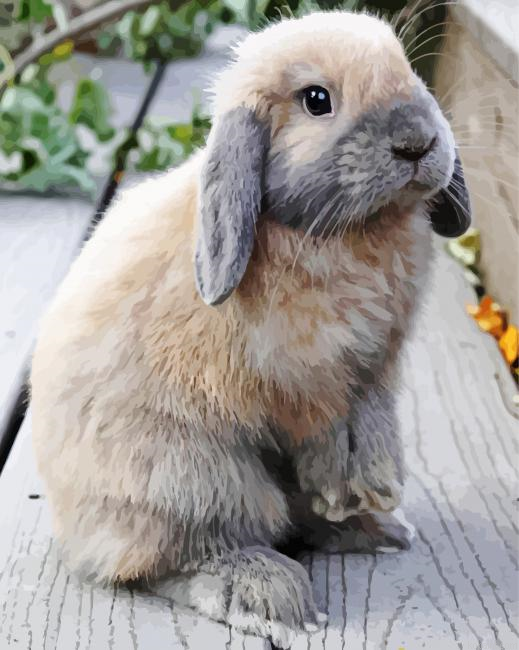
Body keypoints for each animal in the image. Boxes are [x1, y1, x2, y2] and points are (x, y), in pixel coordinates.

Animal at [31, 10, 471, 649]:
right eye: (317, 100)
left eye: (408, 69)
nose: (418, 143)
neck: (345, 231)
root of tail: (71, 528)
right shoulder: (304, 380)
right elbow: (326, 426)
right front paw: (349, 486)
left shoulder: (374, 369)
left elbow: (369, 418)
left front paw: (371, 484)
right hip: (194, 476)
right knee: (184, 555)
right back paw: (270, 594)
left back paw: (375, 528)